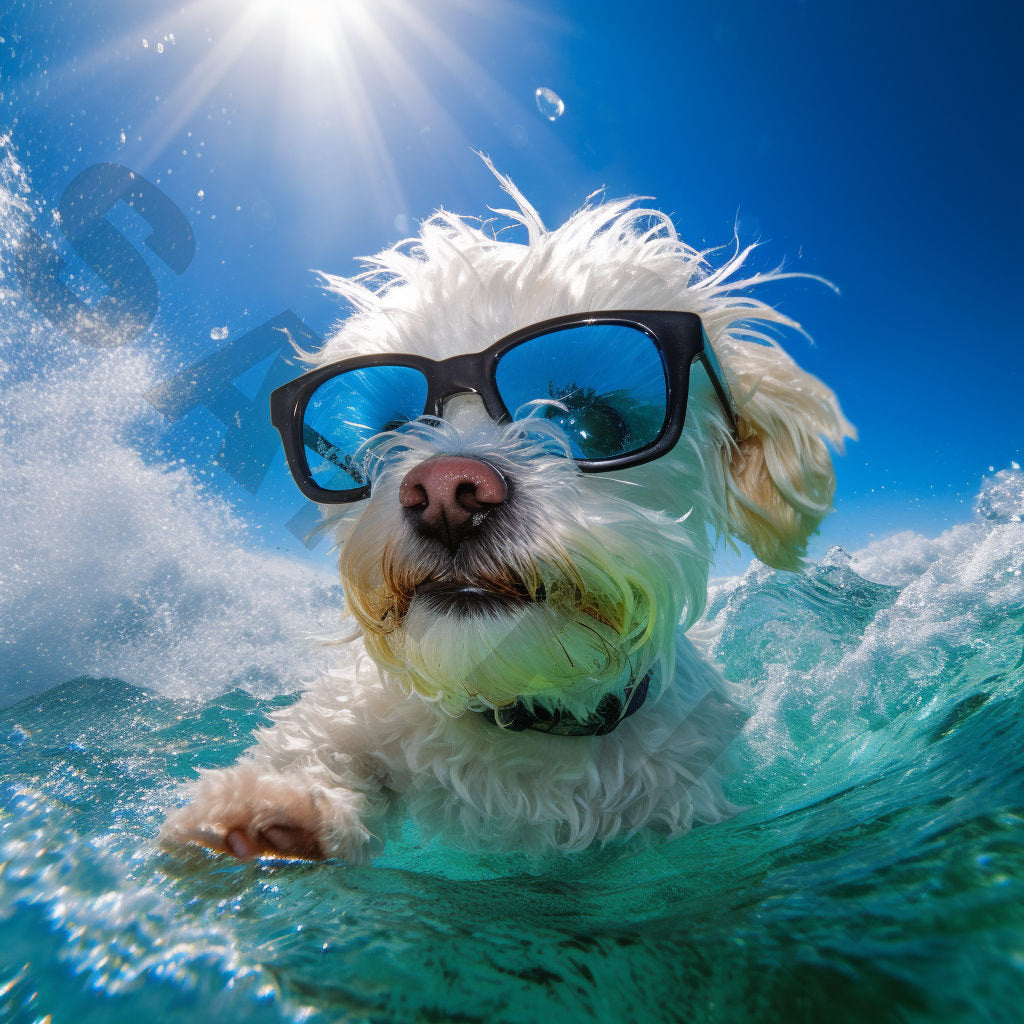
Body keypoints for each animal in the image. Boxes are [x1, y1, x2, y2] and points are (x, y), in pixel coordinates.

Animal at [157, 169, 847, 864]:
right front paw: (277, 803)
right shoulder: (365, 708)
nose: (444, 493)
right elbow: (323, 739)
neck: (522, 711)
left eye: (594, 424)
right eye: (394, 432)